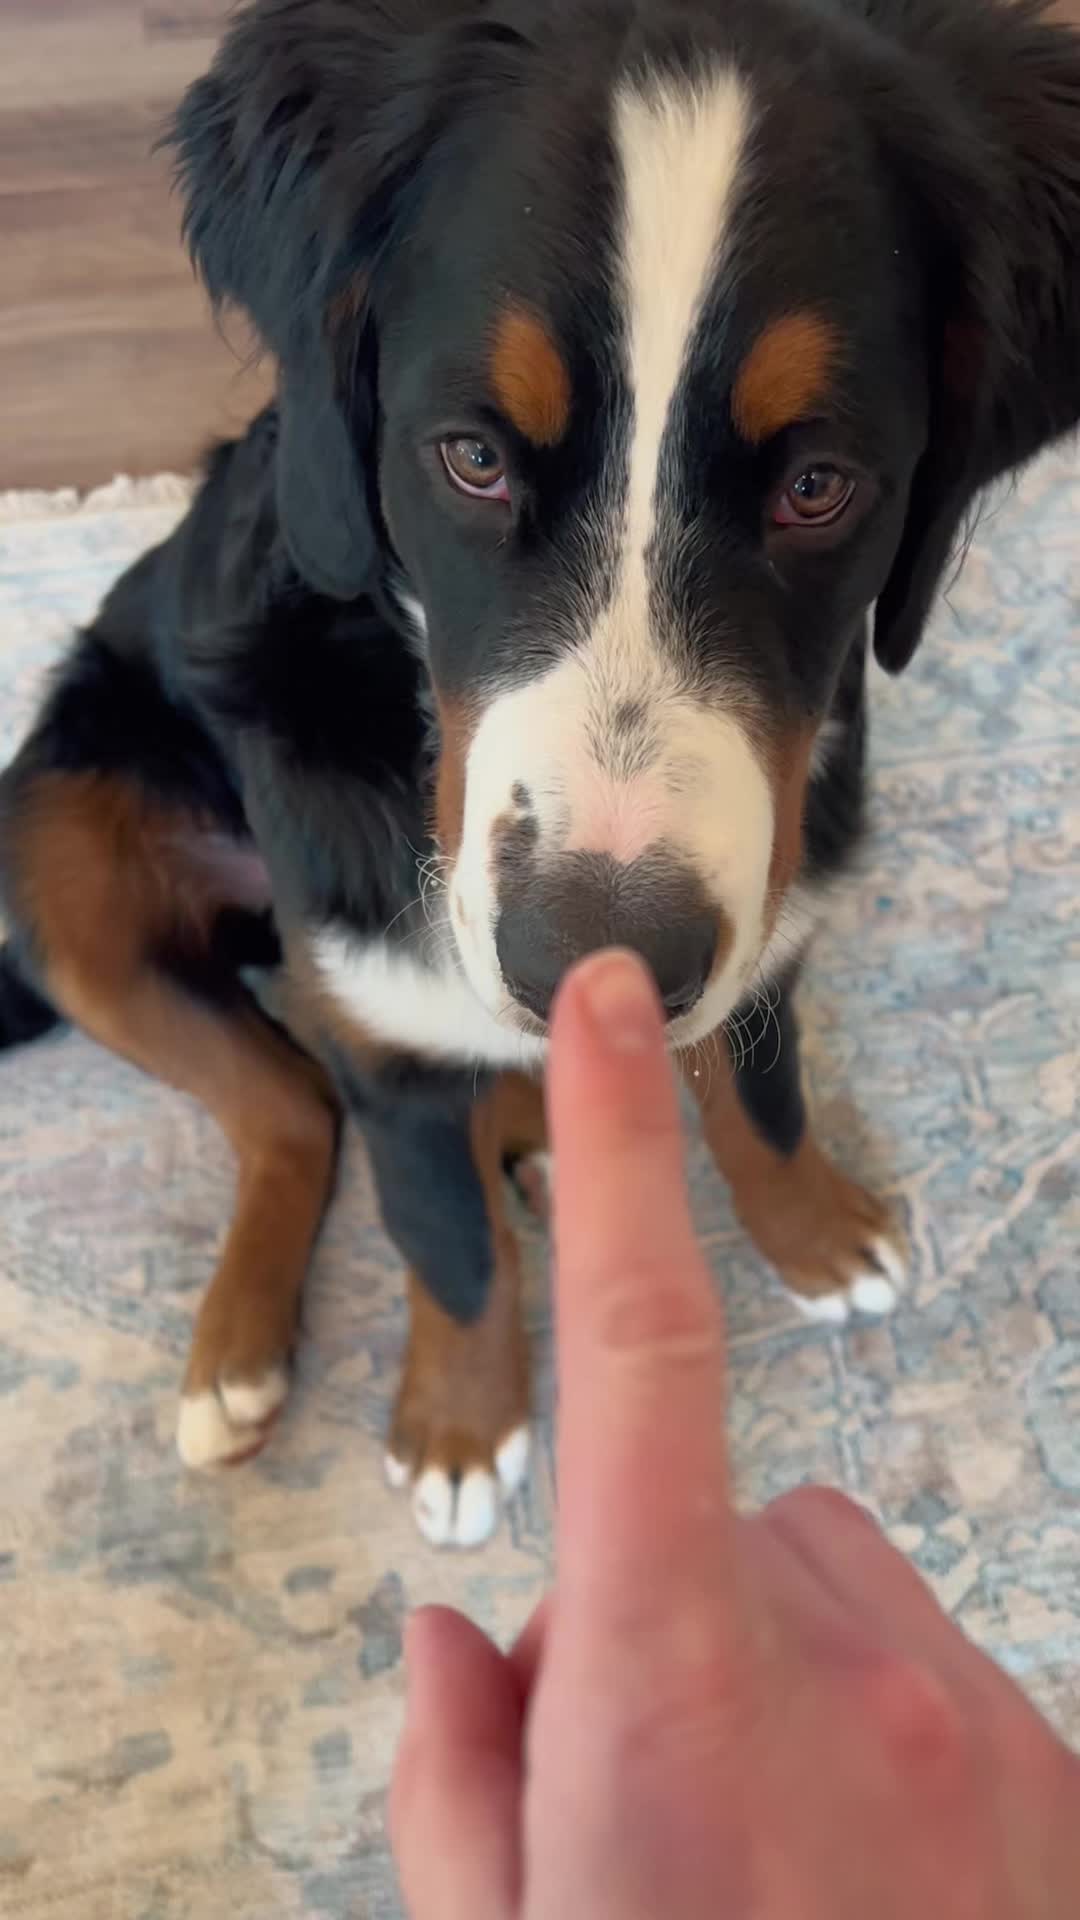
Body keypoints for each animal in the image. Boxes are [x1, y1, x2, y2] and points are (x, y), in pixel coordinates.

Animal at [1, 0, 1077, 1546]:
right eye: (469, 458)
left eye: (819, 486)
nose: (598, 957)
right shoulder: (389, 1022)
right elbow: (445, 1239)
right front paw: (462, 1428)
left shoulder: (768, 896)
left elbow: (762, 1095)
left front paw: (816, 1232)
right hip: (57, 857)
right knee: (292, 1094)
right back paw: (239, 1362)